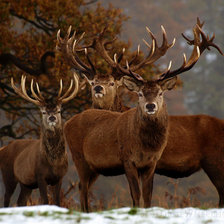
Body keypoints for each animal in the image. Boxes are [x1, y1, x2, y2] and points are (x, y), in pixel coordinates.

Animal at [0, 73, 79, 206]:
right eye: (43, 112)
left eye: (59, 111)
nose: (52, 117)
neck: (54, 162)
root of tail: (3, 148)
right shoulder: (40, 175)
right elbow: (45, 201)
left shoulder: (60, 177)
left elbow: (57, 201)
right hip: (8, 175)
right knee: (6, 199)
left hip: (26, 183)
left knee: (21, 201)